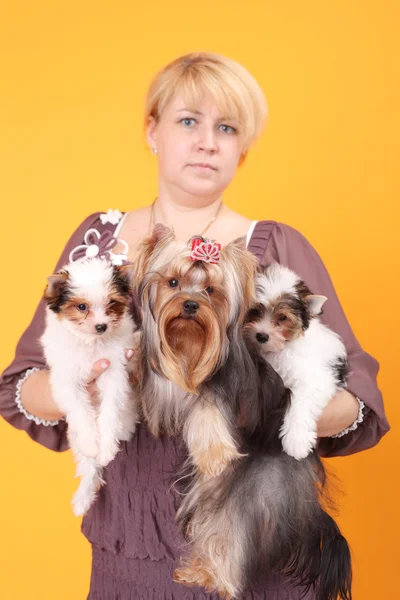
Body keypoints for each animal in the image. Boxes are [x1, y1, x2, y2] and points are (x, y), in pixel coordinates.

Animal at [40, 258, 138, 516]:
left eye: (112, 304)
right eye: (81, 307)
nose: (101, 326)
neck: (92, 344)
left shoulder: (114, 369)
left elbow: (110, 409)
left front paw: (106, 445)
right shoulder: (67, 378)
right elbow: (80, 411)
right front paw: (92, 442)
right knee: (88, 466)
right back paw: (84, 495)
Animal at [242, 262, 348, 460]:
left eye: (283, 318)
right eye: (254, 310)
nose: (261, 336)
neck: (277, 349)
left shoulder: (315, 379)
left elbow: (301, 401)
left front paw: (296, 440)